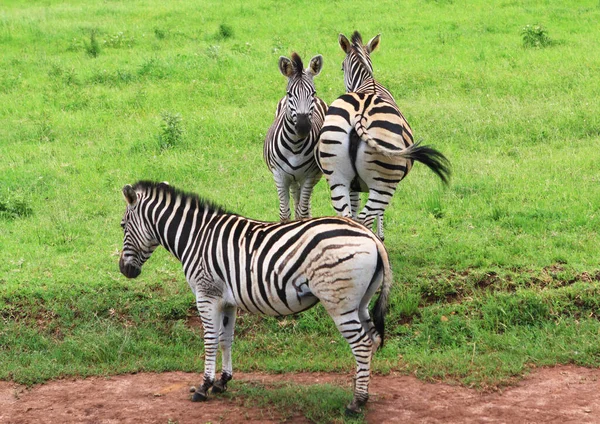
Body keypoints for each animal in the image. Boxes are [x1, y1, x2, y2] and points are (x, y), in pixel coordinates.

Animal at [118, 181, 394, 412]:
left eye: (122, 226)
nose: (124, 270)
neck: (195, 237)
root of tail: (371, 236)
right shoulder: (227, 301)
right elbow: (225, 340)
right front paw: (222, 382)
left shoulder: (206, 295)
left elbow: (210, 341)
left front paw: (204, 386)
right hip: (361, 302)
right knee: (372, 340)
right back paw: (362, 393)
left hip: (339, 303)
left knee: (361, 343)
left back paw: (356, 403)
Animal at [264, 52, 328, 222]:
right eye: (290, 94)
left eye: (313, 93)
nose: (303, 127)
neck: (295, 145)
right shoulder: (279, 176)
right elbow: (284, 214)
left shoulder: (309, 176)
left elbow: (302, 212)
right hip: (292, 179)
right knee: (295, 196)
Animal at [314, 31, 450, 240]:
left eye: (341, 67)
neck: (366, 83)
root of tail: (360, 114)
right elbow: (379, 214)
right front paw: (382, 235)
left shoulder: (352, 185)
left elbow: (354, 206)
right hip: (385, 181)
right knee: (367, 217)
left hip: (336, 175)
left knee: (347, 216)